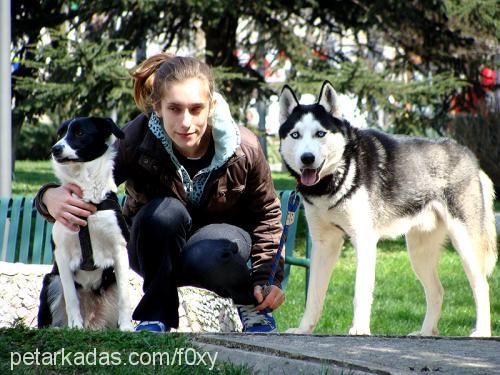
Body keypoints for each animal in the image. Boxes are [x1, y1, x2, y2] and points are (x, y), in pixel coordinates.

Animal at [37, 116, 133, 330]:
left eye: (80, 132)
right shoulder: (62, 255)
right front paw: (75, 326)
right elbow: (71, 297)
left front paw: (126, 327)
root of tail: (92, 322)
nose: (55, 149)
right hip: (51, 280)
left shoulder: (119, 249)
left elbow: (124, 298)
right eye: (60, 134)